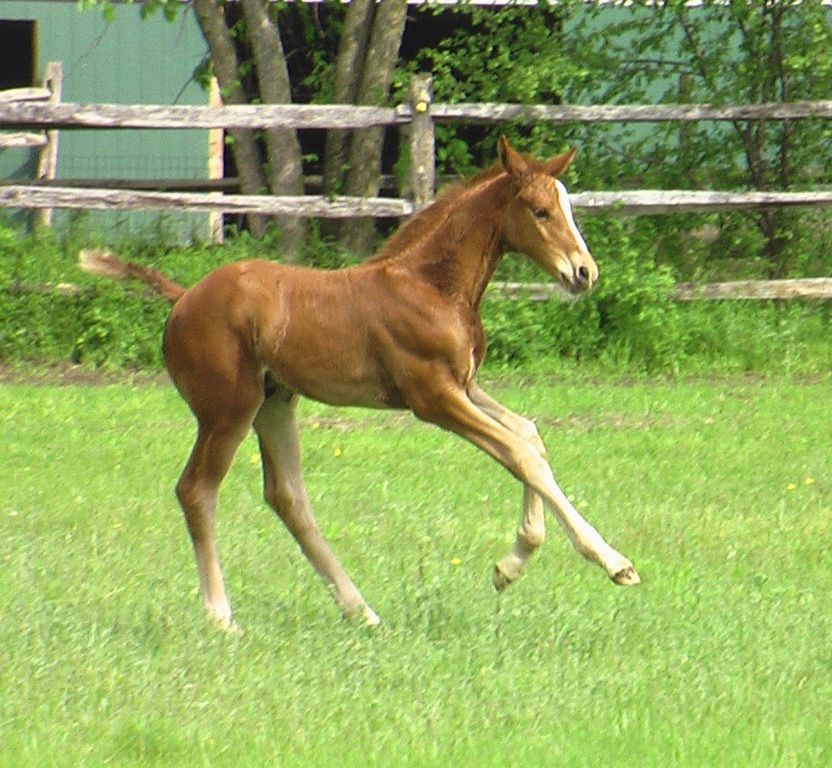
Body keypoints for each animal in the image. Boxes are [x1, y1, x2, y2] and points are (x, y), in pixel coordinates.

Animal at [81, 138, 640, 632]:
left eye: (566, 208)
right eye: (541, 211)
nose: (585, 273)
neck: (432, 285)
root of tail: (182, 298)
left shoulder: (464, 385)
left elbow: (528, 434)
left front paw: (511, 565)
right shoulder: (432, 396)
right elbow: (521, 454)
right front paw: (612, 561)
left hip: (275, 402)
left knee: (288, 498)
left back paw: (361, 611)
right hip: (228, 410)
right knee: (197, 490)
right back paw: (221, 617)